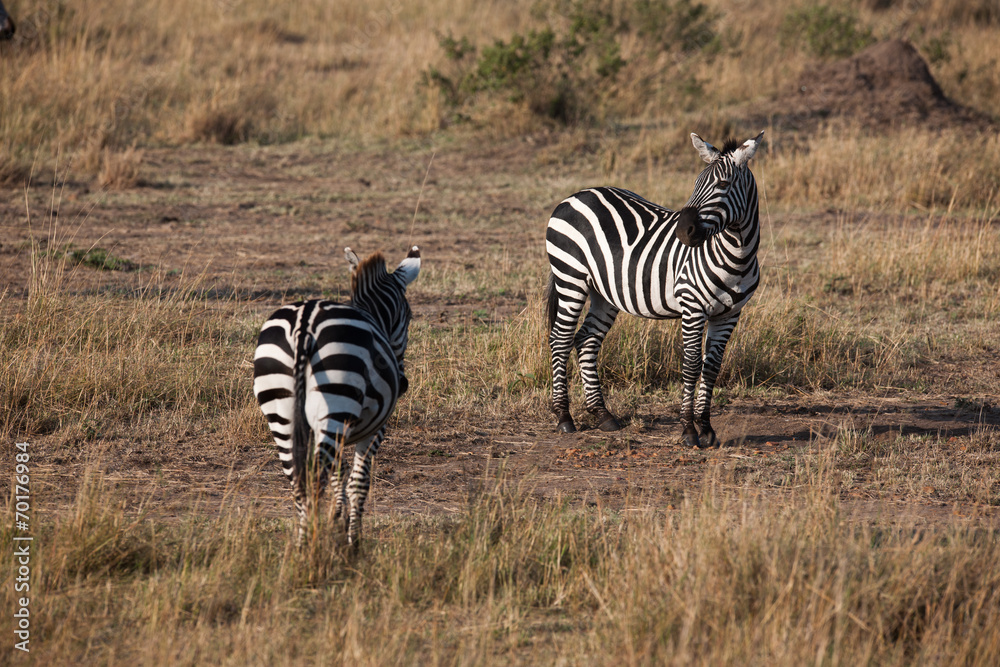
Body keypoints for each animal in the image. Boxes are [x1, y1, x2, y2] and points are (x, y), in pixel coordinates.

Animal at [253, 246, 420, 548]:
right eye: (409, 316)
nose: (403, 384)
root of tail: (304, 324)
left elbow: (338, 475)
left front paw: (337, 521)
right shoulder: (375, 430)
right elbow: (358, 482)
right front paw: (353, 539)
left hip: (282, 411)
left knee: (298, 479)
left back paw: (301, 545)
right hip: (335, 399)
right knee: (315, 478)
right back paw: (312, 548)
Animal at [545, 131, 764, 448]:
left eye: (723, 185)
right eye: (696, 183)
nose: (683, 231)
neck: (737, 254)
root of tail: (576, 195)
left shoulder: (730, 314)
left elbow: (711, 367)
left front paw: (707, 429)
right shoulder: (692, 307)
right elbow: (691, 365)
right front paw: (688, 430)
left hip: (603, 291)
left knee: (586, 340)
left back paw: (602, 414)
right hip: (570, 277)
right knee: (560, 340)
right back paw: (564, 417)